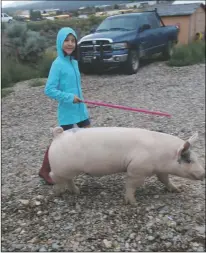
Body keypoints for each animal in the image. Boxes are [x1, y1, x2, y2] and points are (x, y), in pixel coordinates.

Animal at [48, 125, 204, 205]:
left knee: (68, 179)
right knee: (54, 176)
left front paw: (178, 190)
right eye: (189, 160)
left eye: (196, 157)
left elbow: (164, 179)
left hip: (69, 170)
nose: (204, 174)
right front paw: (133, 203)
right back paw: (58, 193)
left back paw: (77, 192)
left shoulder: (160, 170)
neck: (162, 156)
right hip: (61, 168)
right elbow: (131, 184)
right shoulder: (137, 169)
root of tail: (59, 135)